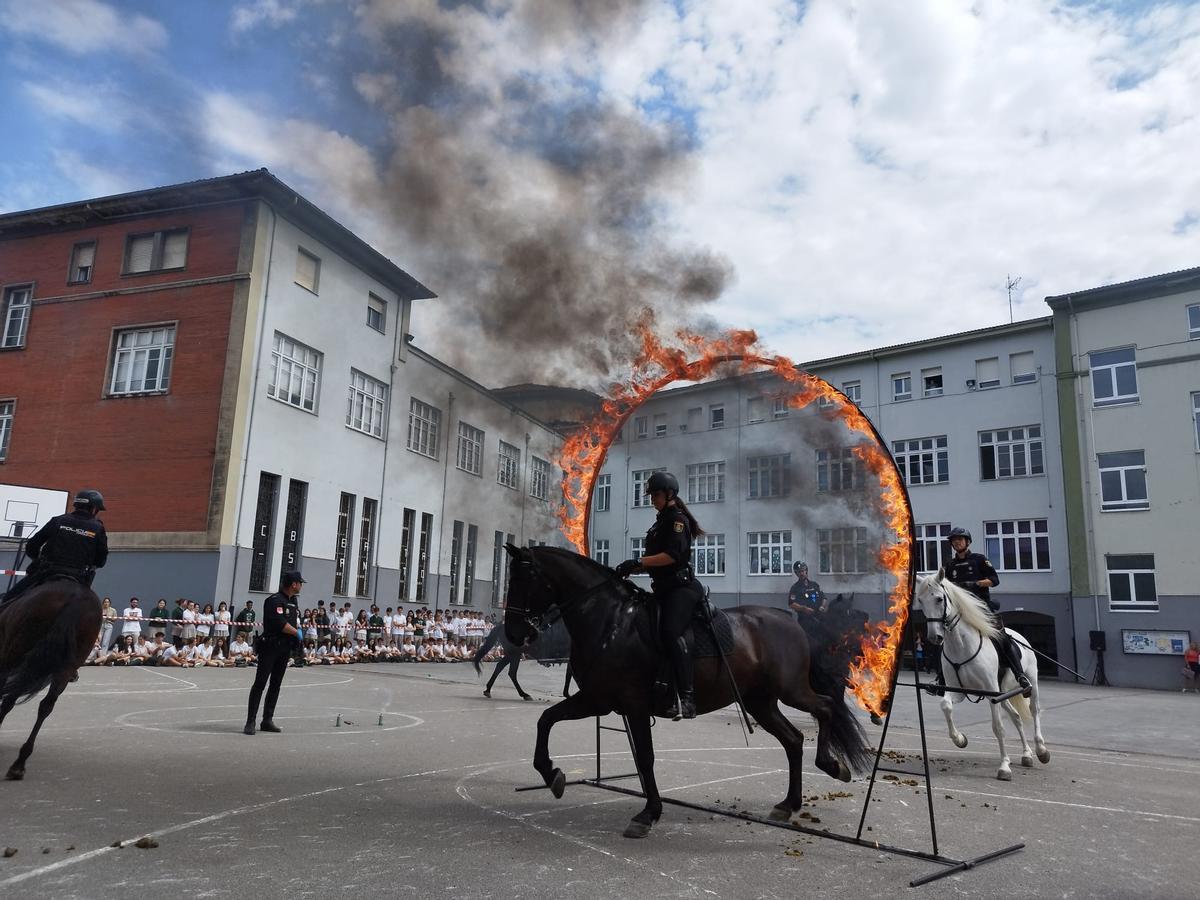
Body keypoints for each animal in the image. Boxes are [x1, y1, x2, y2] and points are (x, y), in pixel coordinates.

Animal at [503, 544, 872, 839]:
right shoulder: (597, 699)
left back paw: (831, 765)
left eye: (522, 580)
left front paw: (648, 814)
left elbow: (645, 758)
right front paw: (551, 774)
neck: (611, 622)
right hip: (760, 702)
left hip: (790, 690)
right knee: (793, 740)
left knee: (825, 707)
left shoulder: (633, 704)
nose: (514, 634)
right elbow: (546, 719)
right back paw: (789, 803)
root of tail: (791, 623)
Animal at [914, 570, 1050, 781]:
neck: (961, 646)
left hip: (1030, 682)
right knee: (1016, 716)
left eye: (938, 599)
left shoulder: (991, 692)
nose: (934, 637)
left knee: (1034, 710)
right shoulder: (959, 691)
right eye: (920, 600)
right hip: (1002, 693)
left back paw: (1041, 750)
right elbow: (946, 706)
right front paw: (960, 739)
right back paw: (1027, 754)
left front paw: (1004, 766)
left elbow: (998, 727)